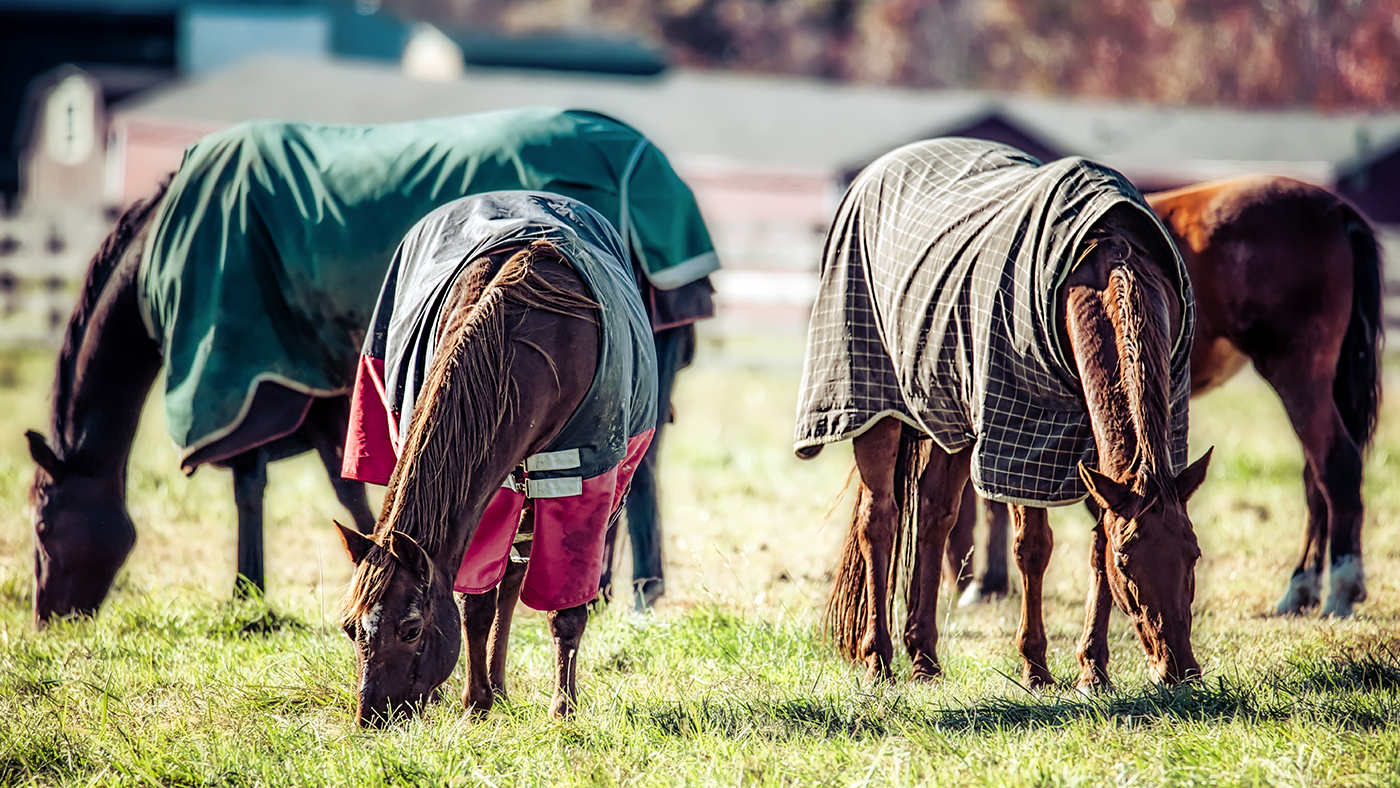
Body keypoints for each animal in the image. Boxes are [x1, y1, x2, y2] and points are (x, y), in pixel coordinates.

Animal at [800, 139, 1215, 691]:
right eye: (1129, 565)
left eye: (1193, 553)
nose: (1180, 669)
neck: (1108, 261)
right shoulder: (1022, 434)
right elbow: (1034, 548)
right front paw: (1036, 666)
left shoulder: (1087, 449)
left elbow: (1094, 544)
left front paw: (1093, 669)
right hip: (872, 406)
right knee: (879, 520)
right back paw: (878, 659)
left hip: (951, 415)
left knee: (934, 515)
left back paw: (924, 657)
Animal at [957, 175, 1383, 618]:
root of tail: (1338, 210)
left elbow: (993, 495)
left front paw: (986, 584)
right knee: (1315, 479)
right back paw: (1302, 588)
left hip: (1297, 373)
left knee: (1336, 466)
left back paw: (1340, 590)